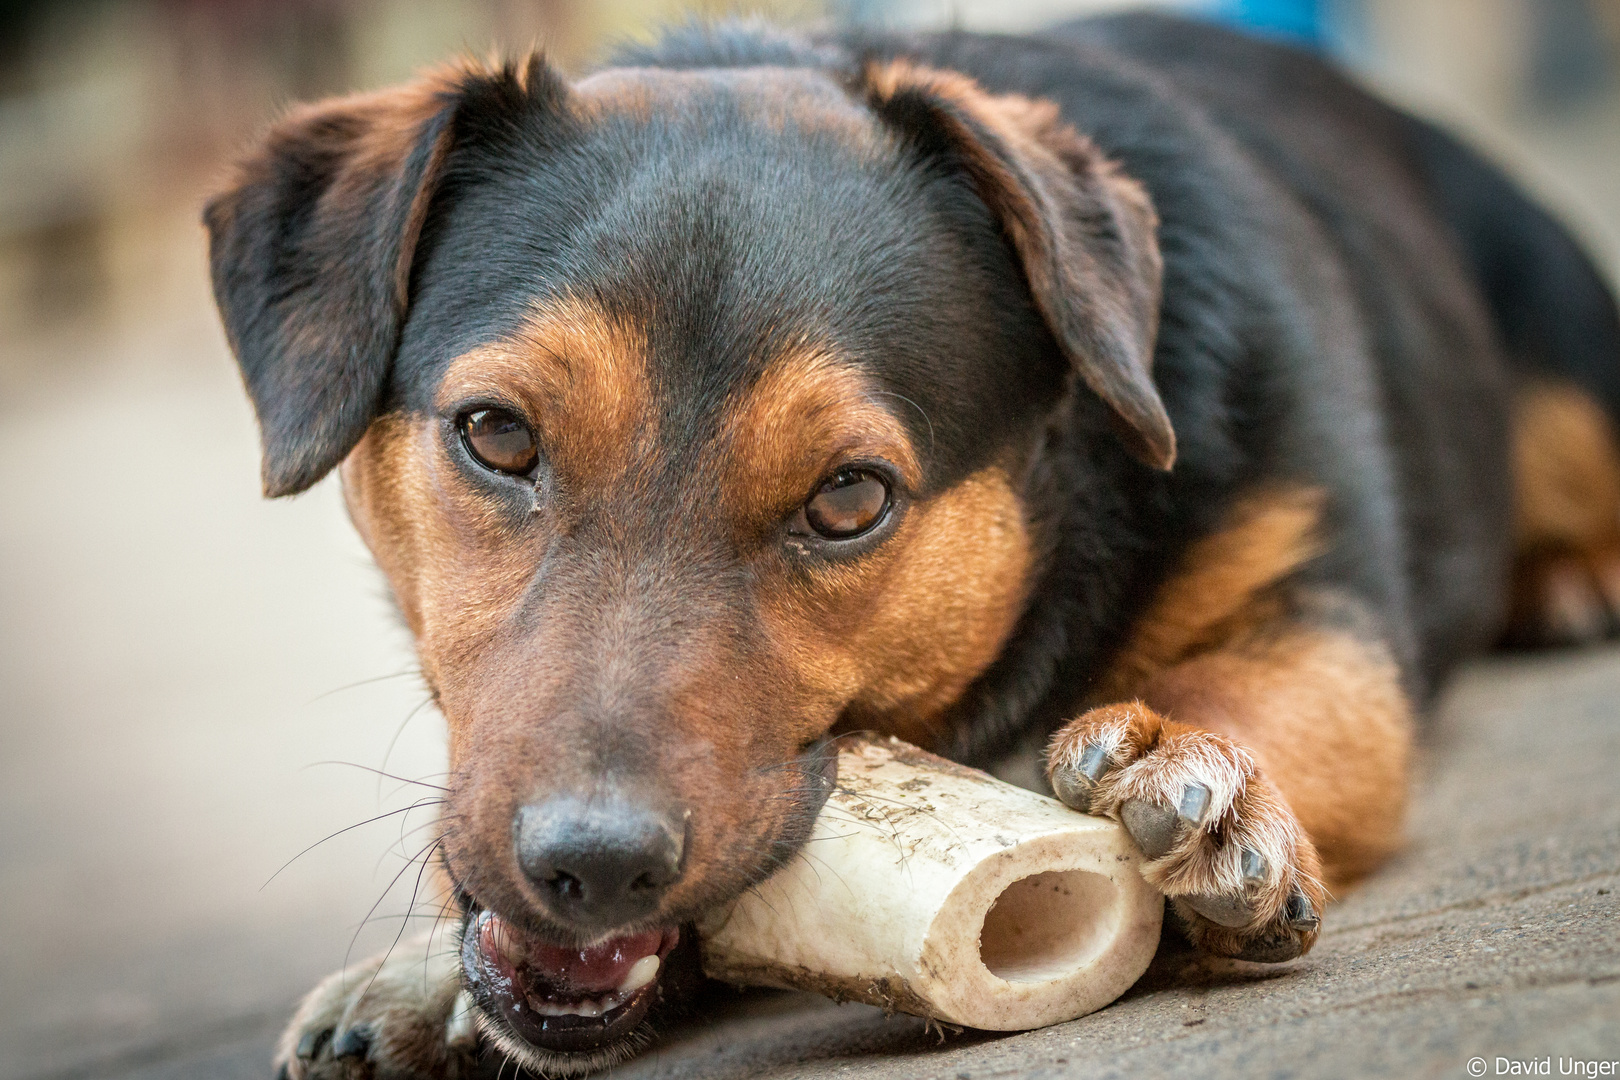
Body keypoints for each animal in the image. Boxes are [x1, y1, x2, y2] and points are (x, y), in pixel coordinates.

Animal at [199, 10, 1620, 1080]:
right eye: (494, 435)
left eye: (848, 500)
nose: (589, 869)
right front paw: (418, 973)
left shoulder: (1324, 606)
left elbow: (1246, 689)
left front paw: (1208, 783)